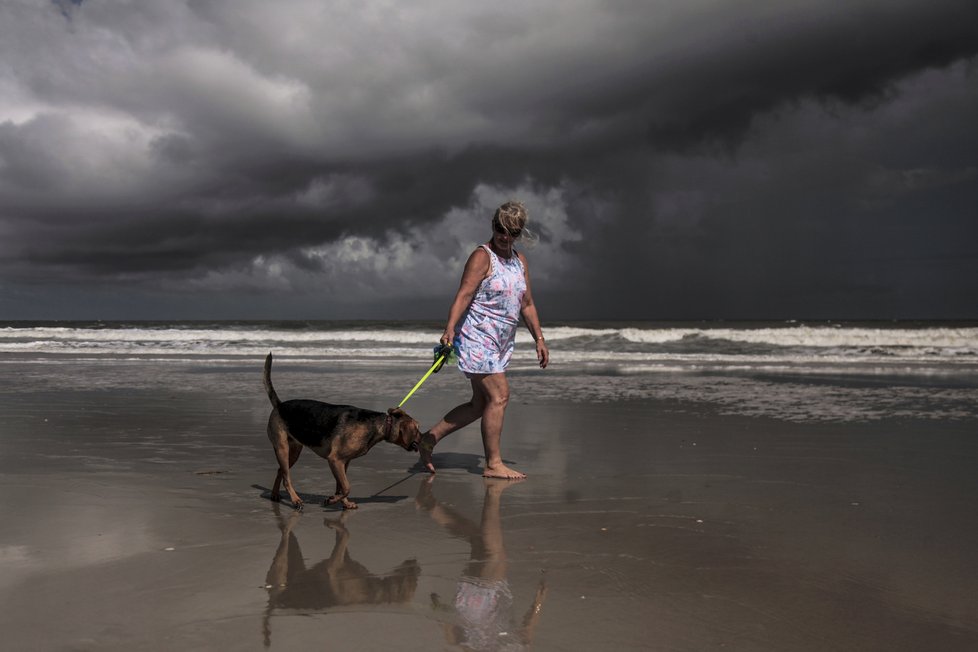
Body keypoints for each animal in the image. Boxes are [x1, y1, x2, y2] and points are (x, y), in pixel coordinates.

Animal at [264, 352, 420, 510]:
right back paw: (296, 500)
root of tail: (279, 405)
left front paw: (343, 502)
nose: (422, 439)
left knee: (281, 471)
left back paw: (275, 495)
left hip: (294, 451)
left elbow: (341, 487)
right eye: (418, 429)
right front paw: (332, 500)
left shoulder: (343, 462)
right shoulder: (335, 459)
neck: (379, 425)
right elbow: (346, 487)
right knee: (286, 478)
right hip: (282, 448)